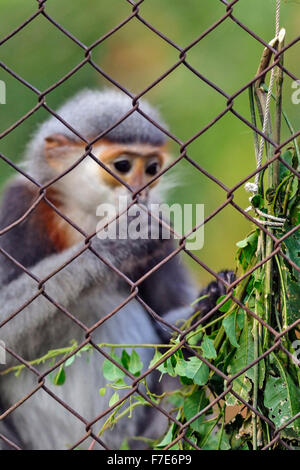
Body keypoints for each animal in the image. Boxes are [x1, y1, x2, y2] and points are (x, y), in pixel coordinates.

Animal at [0, 90, 232, 450]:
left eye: (151, 169)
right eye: (122, 166)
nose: (140, 192)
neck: (81, 220)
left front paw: (205, 311)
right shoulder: (18, 206)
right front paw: (120, 240)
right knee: (95, 301)